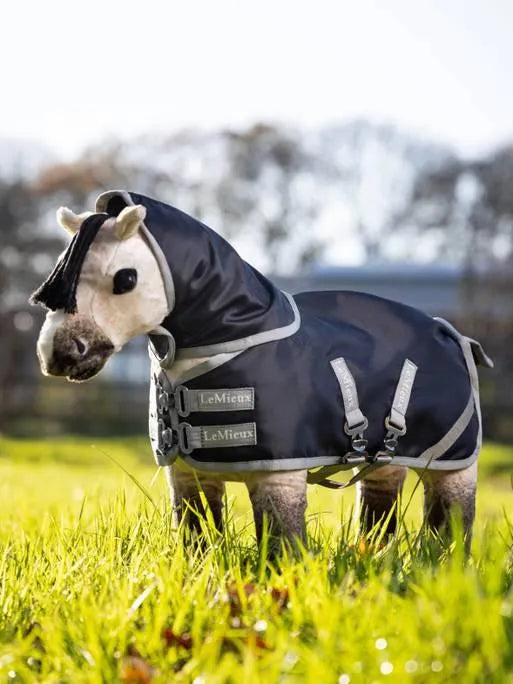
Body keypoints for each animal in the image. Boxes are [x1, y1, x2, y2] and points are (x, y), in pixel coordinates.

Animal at [31, 190, 492, 554]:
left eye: (126, 278)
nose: (59, 354)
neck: (235, 340)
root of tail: (450, 332)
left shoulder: (279, 476)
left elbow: (280, 541)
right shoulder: (188, 473)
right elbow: (198, 535)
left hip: (451, 461)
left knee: (452, 517)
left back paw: (442, 564)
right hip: (385, 459)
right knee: (380, 506)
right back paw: (373, 556)